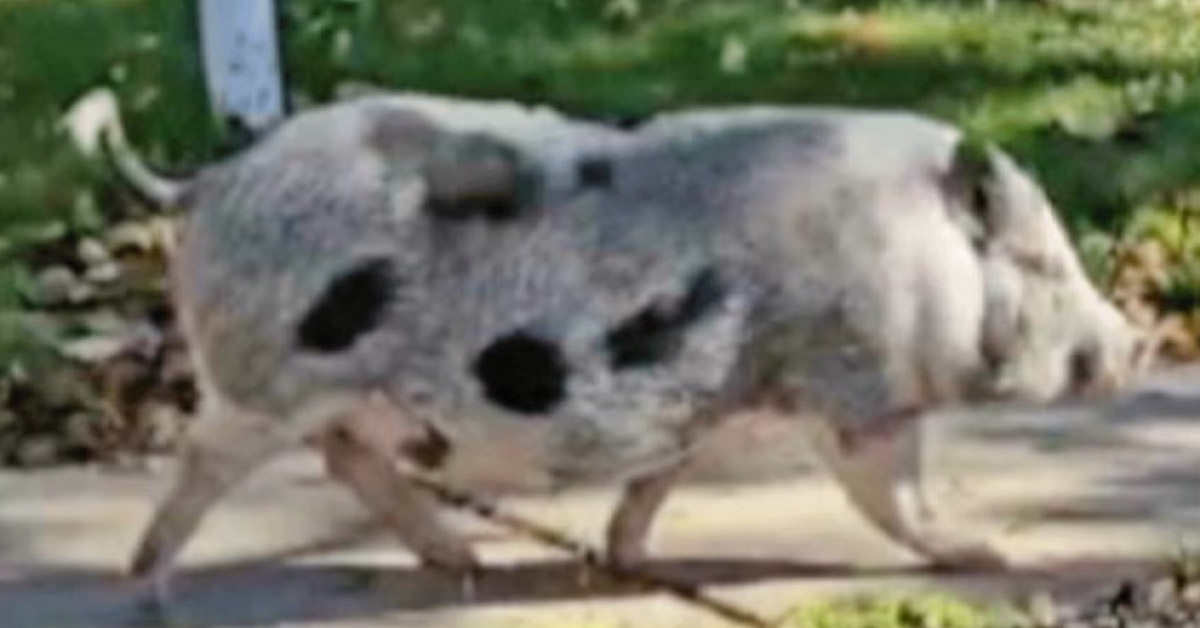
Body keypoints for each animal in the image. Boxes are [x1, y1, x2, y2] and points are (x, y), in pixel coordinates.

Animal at [66, 91, 1150, 604]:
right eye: (1044, 265)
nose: (1137, 343)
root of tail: (208, 182)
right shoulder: (856, 390)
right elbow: (896, 501)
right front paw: (987, 550)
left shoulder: (721, 399)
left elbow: (660, 478)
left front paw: (625, 557)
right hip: (259, 384)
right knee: (204, 467)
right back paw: (149, 589)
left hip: (323, 397)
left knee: (344, 457)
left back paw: (464, 563)